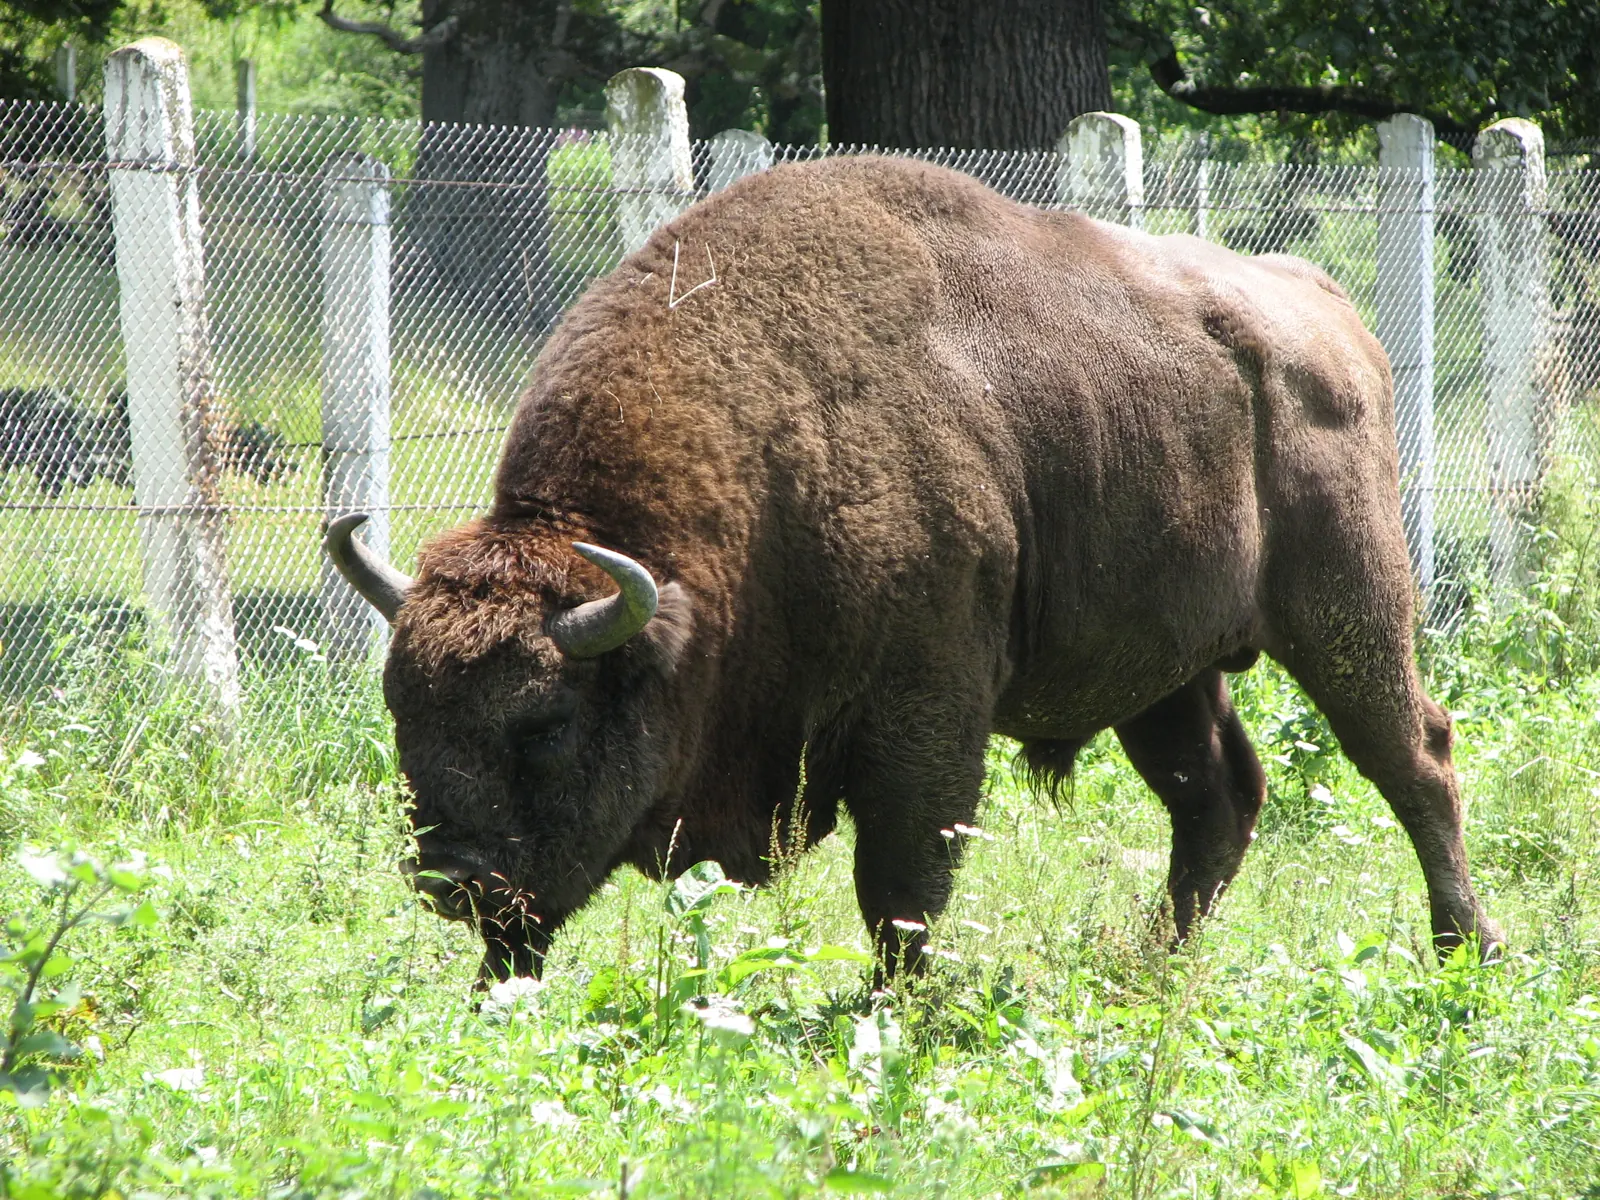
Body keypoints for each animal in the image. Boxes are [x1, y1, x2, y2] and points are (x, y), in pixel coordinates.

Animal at [326, 156, 1499, 985]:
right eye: (404, 712)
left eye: (546, 723)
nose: (448, 875)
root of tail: (1326, 312)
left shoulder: (922, 717)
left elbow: (900, 886)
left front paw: (896, 1014)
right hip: (1166, 672)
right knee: (1215, 797)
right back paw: (1150, 963)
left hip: (1347, 611)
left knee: (1415, 759)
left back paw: (1465, 951)